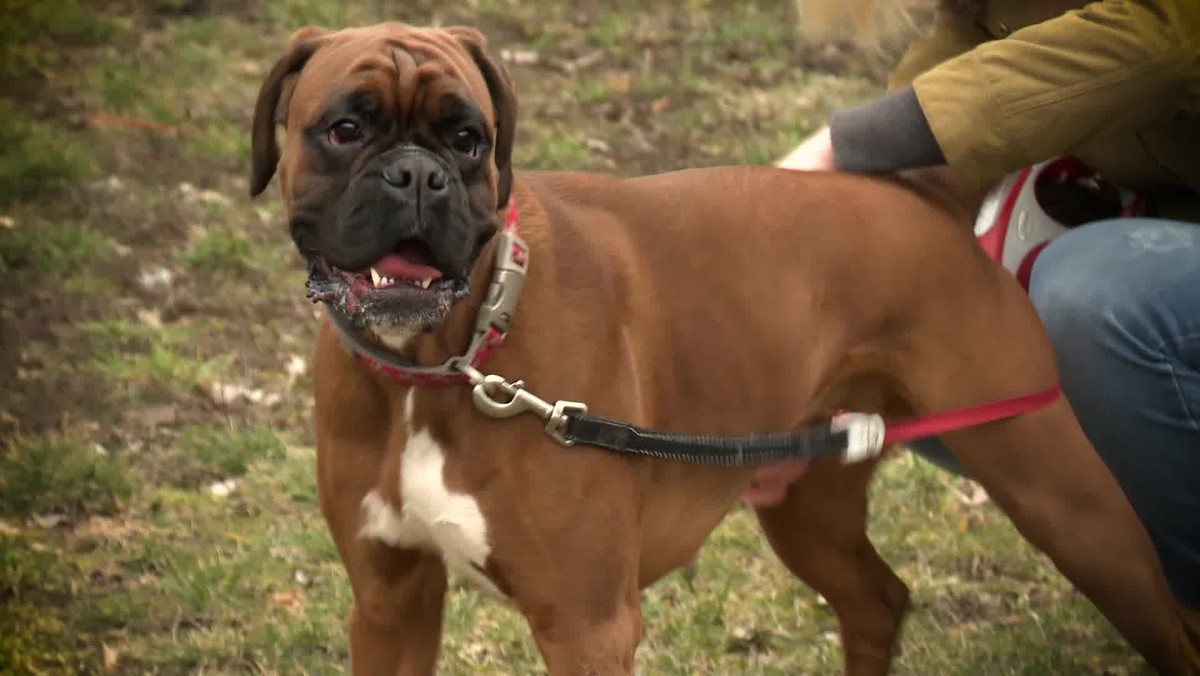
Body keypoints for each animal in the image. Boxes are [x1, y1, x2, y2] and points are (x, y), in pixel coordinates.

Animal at [250, 21, 1190, 676]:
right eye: (344, 129)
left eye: (467, 138)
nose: (417, 175)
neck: (451, 356)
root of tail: (924, 197)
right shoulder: (389, 603)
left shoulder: (586, 623)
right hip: (810, 503)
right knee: (878, 602)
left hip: (1067, 502)